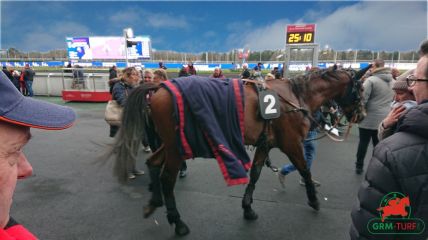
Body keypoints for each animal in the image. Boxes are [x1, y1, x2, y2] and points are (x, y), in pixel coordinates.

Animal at [112, 66, 370, 236]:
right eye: (359, 89)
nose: (362, 115)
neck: (294, 97)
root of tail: (161, 86)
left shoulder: (266, 144)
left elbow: (255, 174)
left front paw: (247, 207)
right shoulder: (291, 143)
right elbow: (305, 170)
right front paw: (314, 199)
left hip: (169, 143)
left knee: (154, 163)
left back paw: (153, 201)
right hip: (177, 148)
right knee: (167, 179)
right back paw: (177, 221)